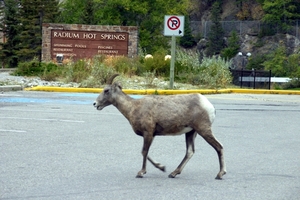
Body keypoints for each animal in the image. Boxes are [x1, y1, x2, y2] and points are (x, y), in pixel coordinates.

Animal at [92, 74, 226, 180]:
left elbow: (144, 151)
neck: (133, 108)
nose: (95, 104)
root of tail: (209, 105)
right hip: (191, 132)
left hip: (203, 130)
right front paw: (162, 167)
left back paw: (220, 174)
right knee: (190, 152)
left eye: (106, 90)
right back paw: (173, 173)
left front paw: (141, 173)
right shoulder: (151, 135)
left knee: (219, 147)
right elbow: (145, 152)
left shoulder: (148, 133)